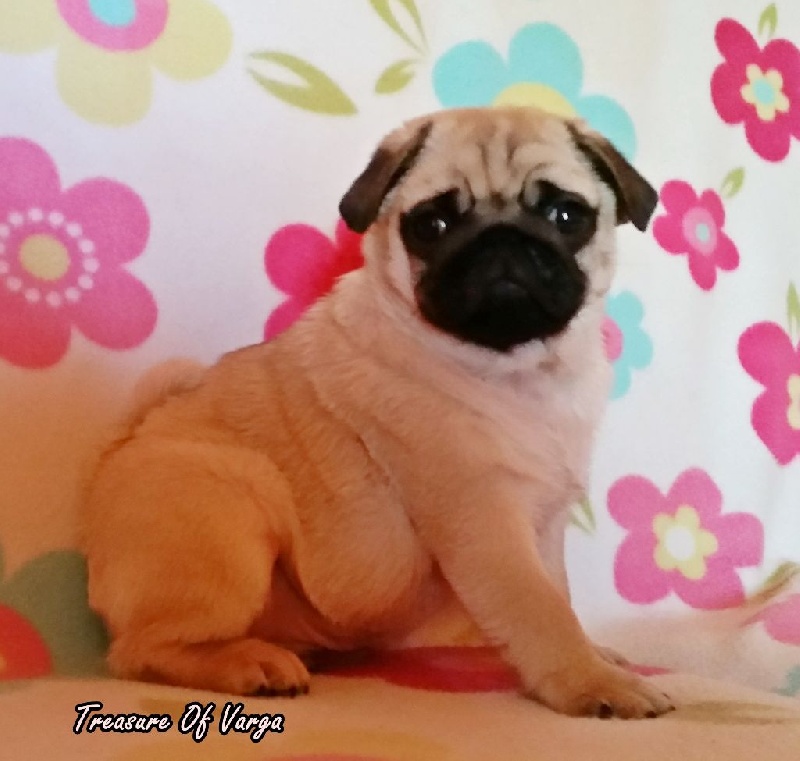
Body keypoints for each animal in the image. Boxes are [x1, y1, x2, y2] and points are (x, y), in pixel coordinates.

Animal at [80, 106, 673, 719]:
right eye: (432, 225)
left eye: (566, 216)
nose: (501, 243)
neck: (518, 370)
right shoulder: (484, 519)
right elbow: (539, 609)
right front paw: (593, 681)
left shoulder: (546, 523)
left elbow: (561, 596)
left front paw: (597, 656)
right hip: (228, 512)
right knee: (139, 650)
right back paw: (246, 662)